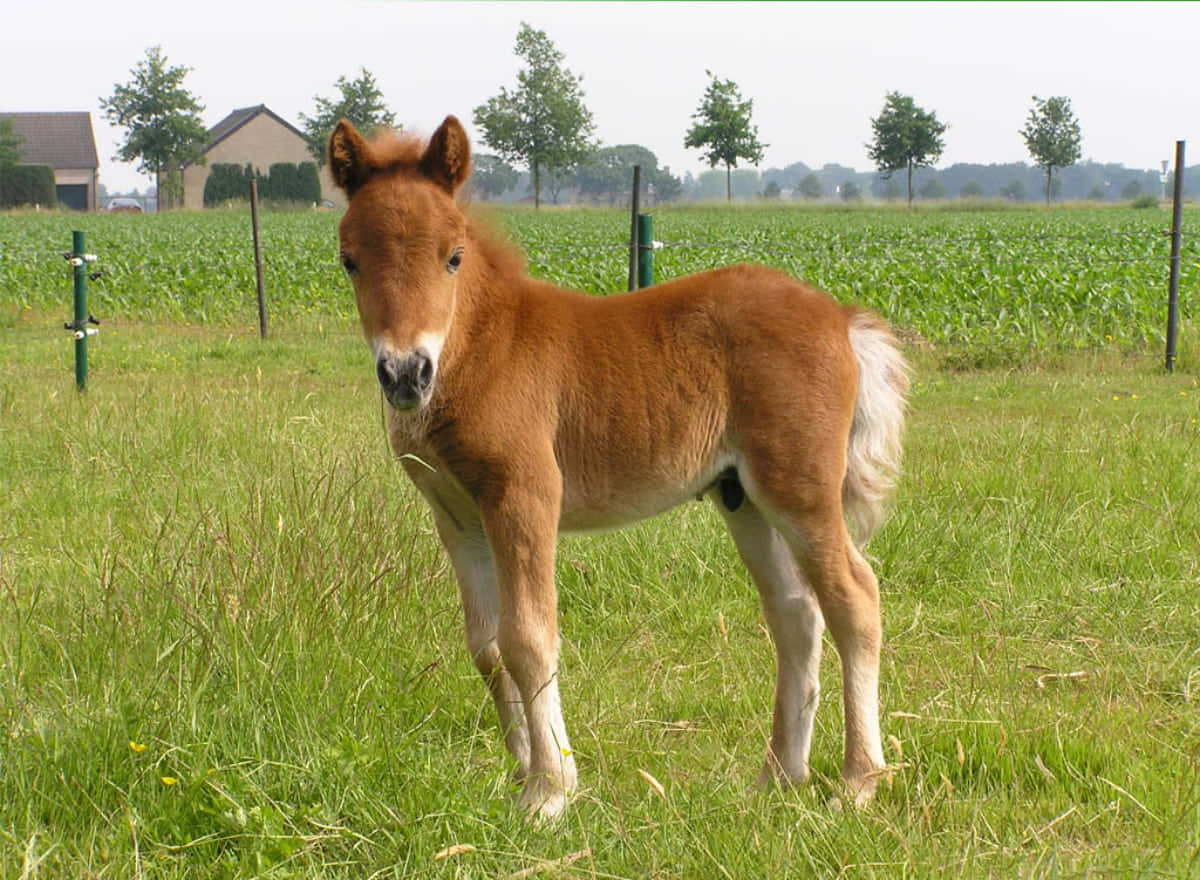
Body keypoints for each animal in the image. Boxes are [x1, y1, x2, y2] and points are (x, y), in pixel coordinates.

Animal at [328, 115, 909, 819]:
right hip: (742, 496)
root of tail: (842, 317)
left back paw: (858, 780)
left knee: (854, 597)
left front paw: (550, 790)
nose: (406, 373)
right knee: (796, 613)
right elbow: (487, 647)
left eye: (453, 256)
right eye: (349, 260)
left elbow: (529, 638)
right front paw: (520, 769)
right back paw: (778, 775)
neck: (482, 349)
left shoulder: (524, 496)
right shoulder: (457, 517)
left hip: (798, 487)